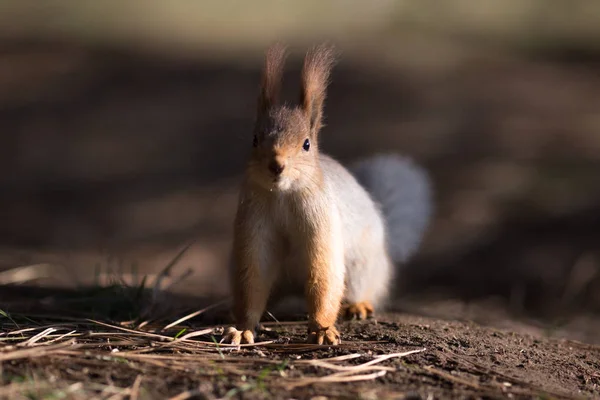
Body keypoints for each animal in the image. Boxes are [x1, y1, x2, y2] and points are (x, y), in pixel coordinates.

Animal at [221, 42, 432, 346]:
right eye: (254, 139)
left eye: (307, 144)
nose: (276, 165)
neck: (283, 196)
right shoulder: (253, 226)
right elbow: (253, 279)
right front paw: (242, 329)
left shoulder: (322, 223)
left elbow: (324, 275)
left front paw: (322, 330)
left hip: (361, 268)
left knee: (363, 287)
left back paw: (358, 305)